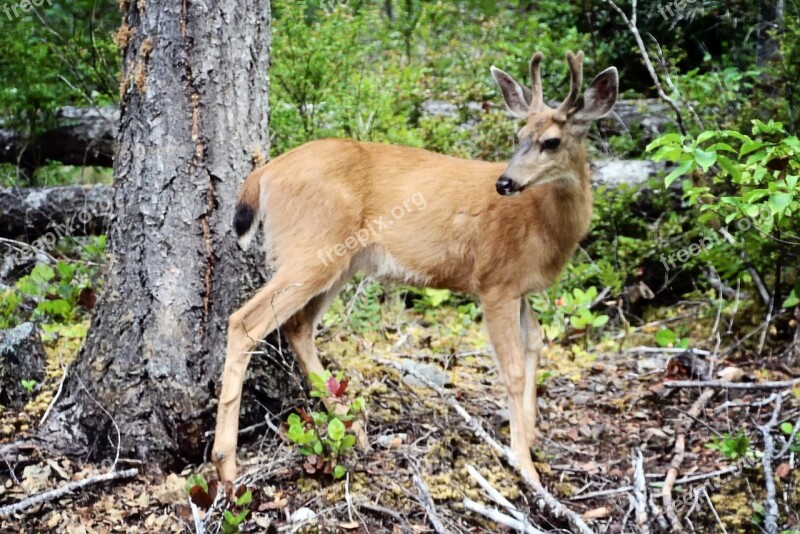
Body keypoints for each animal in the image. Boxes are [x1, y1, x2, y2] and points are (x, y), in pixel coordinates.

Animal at [212, 50, 620, 486]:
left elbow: (535, 344)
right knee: (245, 321)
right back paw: (226, 463)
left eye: (551, 141)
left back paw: (354, 430)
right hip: (310, 249)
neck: (542, 222)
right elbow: (511, 369)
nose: (505, 182)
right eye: (519, 136)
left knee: (297, 327)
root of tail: (263, 173)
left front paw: (531, 436)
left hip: (339, 263)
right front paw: (524, 464)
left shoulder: (520, 287)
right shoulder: (495, 281)